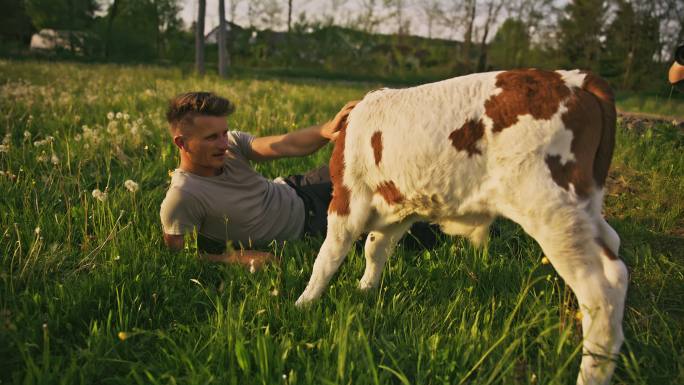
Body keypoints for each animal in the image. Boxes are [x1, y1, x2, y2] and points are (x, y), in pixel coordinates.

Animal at [296, 69, 628, 384]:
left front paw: (305, 302)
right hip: (584, 207)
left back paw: (591, 374)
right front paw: (365, 289)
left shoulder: (347, 197)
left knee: (604, 285)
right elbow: (375, 248)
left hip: (550, 209)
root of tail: (572, 78)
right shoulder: (398, 209)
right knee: (612, 243)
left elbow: (329, 255)